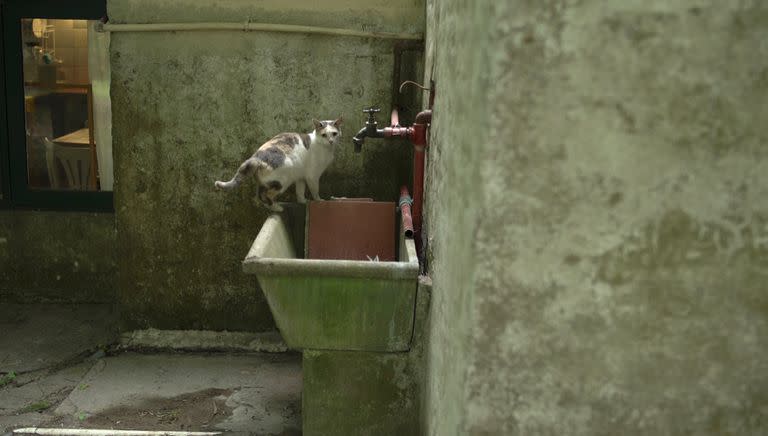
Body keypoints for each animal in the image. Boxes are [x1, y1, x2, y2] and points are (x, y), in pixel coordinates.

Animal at [212, 116, 340, 211]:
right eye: (324, 135)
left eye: (334, 134)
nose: (331, 141)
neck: (325, 148)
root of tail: (256, 157)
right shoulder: (312, 176)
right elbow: (315, 191)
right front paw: (319, 201)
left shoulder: (300, 177)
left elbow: (299, 192)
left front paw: (303, 202)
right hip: (283, 180)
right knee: (264, 196)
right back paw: (277, 208)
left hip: (269, 181)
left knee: (259, 194)